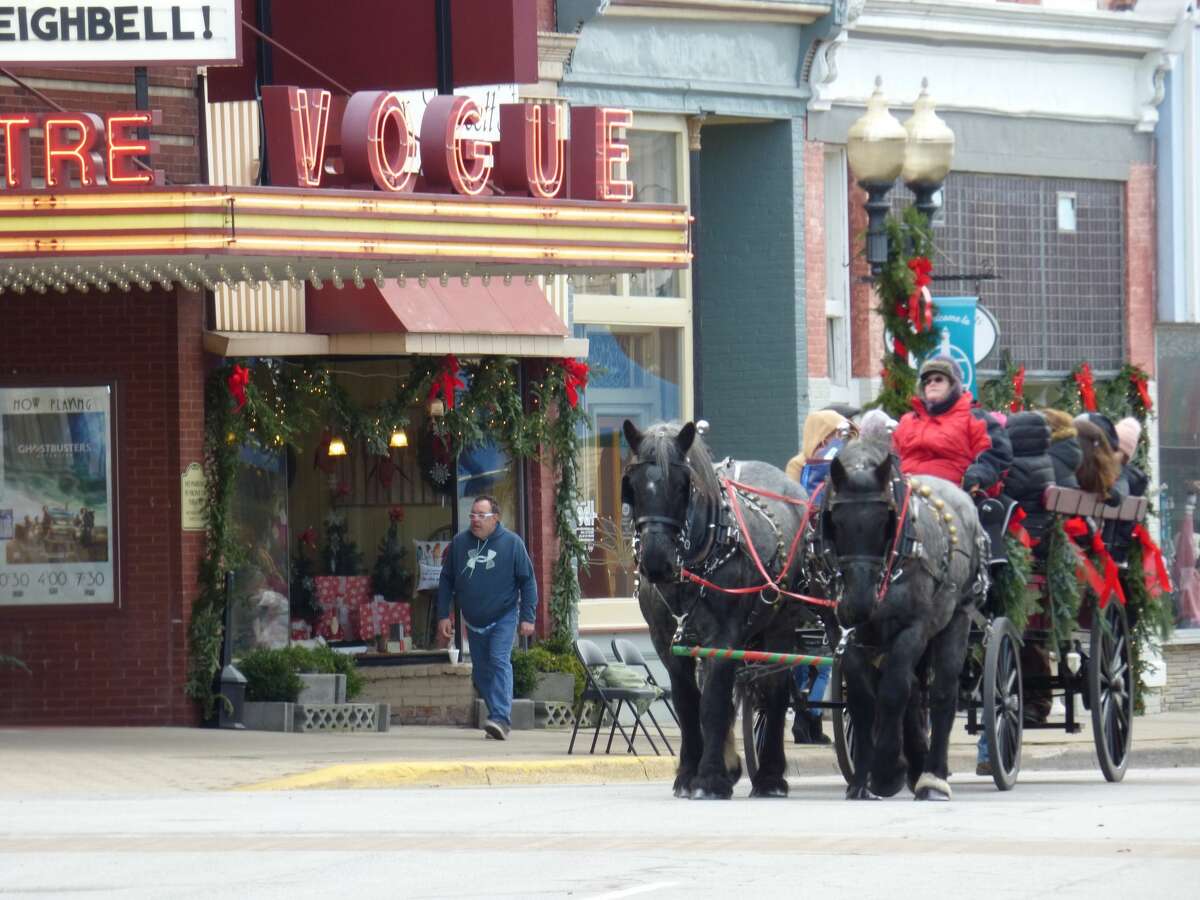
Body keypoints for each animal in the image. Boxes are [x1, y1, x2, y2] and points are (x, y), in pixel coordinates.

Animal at [619, 420, 825, 801]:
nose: (656, 562)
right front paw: (689, 774)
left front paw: (710, 779)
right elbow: (688, 704)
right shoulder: (667, 643)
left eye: (683, 484)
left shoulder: (723, 637)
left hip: (780, 626)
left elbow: (712, 704)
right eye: (633, 484)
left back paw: (771, 777)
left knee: (775, 692)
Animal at [825, 436, 984, 801]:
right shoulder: (843, 634)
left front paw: (887, 771)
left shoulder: (913, 628)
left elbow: (894, 691)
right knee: (914, 692)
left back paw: (933, 777)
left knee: (941, 693)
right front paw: (862, 780)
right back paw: (915, 764)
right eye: (835, 522)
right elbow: (863, 700)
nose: (858, 602)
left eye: (885, 521)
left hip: (958, 616)